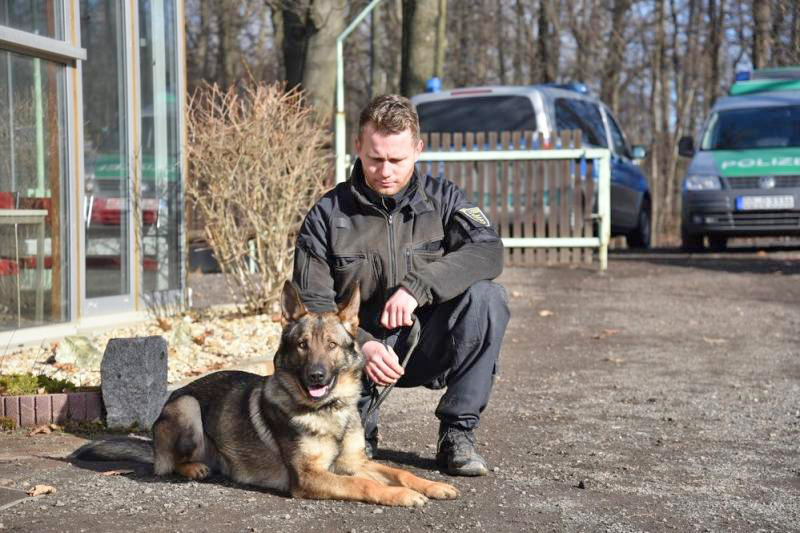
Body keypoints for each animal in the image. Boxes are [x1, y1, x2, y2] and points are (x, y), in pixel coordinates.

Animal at [75, 280, 462, 504]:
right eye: (303, 345)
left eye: (332, 345)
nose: (316, 375)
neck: (329, 412)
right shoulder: (311, 478)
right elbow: (367, 486)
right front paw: (401, 495)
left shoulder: (355, 463)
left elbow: (399, 472)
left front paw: (429, 486)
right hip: (186, 406)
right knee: (167, 465)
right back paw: (194, 468)